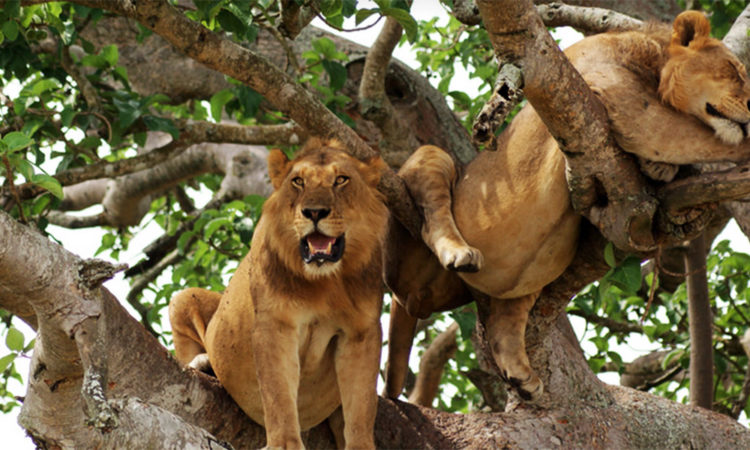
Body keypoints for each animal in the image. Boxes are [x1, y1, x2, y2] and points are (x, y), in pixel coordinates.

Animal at [169, 138, 389, 449]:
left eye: (341, 180)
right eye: (298, 181)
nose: (314, 212)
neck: (325, 282)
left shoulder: (361, 332)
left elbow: (361, 405)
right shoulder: (275, 324)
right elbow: (278, 394)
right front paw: (284, 443)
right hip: (183, 298)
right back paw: (203, 363)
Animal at [384, 11, 750, 403]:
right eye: (733, 70)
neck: (653, 60)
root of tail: (410, 300)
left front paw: (659, 168)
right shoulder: (616, 96)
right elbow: (703, 139)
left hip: (524, 280)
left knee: (506, 317)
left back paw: (519, 375)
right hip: (430, 163)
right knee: (432, 214)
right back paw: (458, 252)